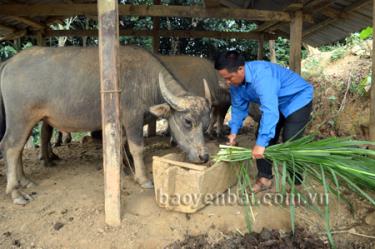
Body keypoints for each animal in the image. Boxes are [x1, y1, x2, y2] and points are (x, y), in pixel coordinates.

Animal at [0, 46, 212, 204]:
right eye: (187, 121)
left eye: (206, 124)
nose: (204, 156)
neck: (146, 80)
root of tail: (10, 61)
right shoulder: (133, 119)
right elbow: (137, 148)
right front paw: (143, 179)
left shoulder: (122, 123)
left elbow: (120, 145)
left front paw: (123, 170)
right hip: (21, 119)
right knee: (10, 147)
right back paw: (15, 192)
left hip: (27, 122)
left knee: (19, 148)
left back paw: (25, 180)